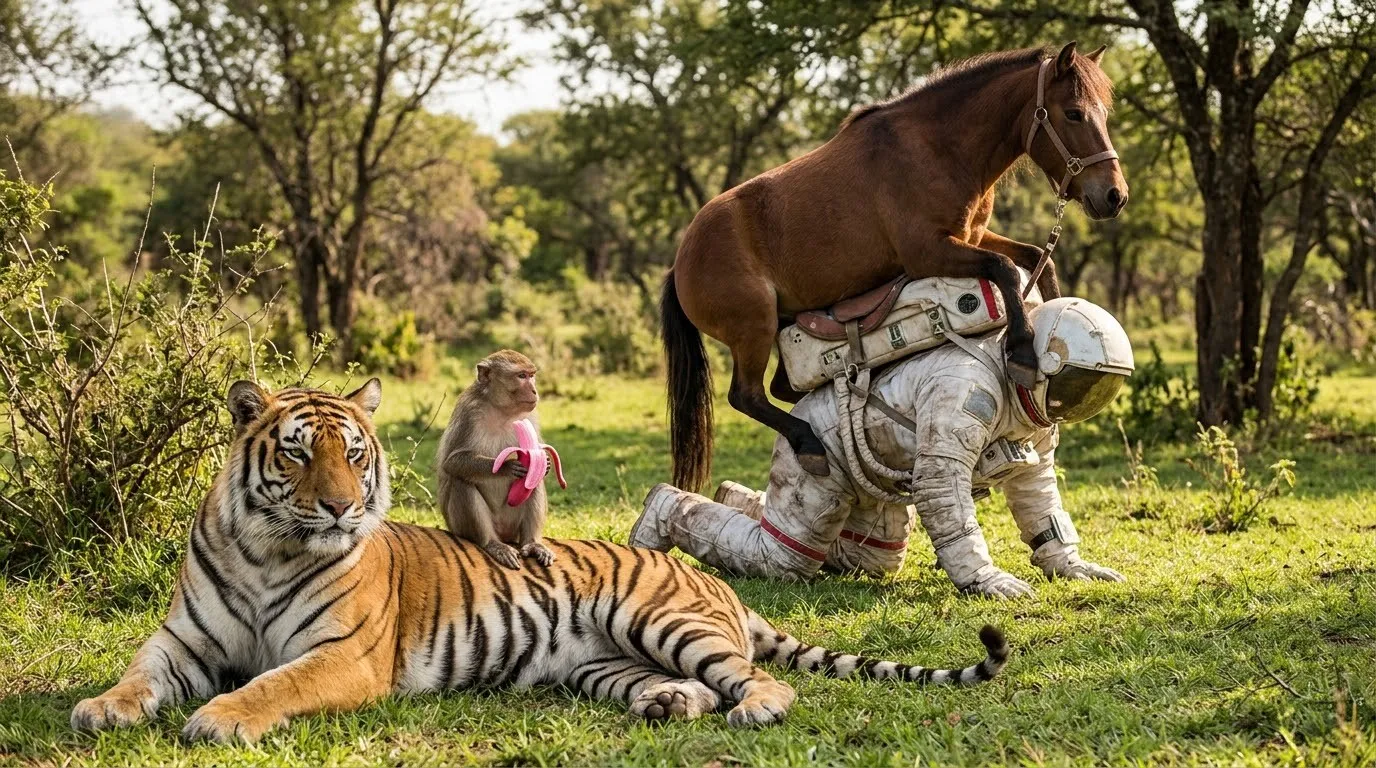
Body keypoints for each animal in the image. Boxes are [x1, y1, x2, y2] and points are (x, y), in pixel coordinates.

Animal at [71, 380, 1010, 743]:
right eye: (299, 454)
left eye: (355, 454)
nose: (340, 506)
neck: (270, 548)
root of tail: (711, 580)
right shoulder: (184, 641)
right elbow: (139, 673)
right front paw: (100, 708)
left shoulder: (342, 656)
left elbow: (273, 683)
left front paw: (220, 718)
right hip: (604, 662)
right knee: (694, 686)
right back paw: (671, 704)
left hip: (659, 618)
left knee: (760, 682)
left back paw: (753, 711)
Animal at [436, 349, 556, 569]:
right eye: (521, 376)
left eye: (531, 375)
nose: (534, 391)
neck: (501, 410)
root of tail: (504, 534)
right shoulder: (469, 412)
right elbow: (452, 462)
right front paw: (506, 467)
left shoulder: (530, 416)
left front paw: (546, 463)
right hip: (460, 526)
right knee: (462, 481)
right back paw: (492, 544)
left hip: (512, 522)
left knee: (533, 483)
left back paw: (532, 543)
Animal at [661, 42, 1127, 491]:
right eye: (1073, 113)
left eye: (1104, 113)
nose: (1114, 196)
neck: (937, 148)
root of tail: (680, 264)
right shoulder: (928, 253)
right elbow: (1006, 270)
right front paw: (1024, 353)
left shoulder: (973, 237)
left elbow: (1033, 260)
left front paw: (1051, 315)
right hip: (755, 330)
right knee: (747, 396)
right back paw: (810, 443)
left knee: (782, 388)